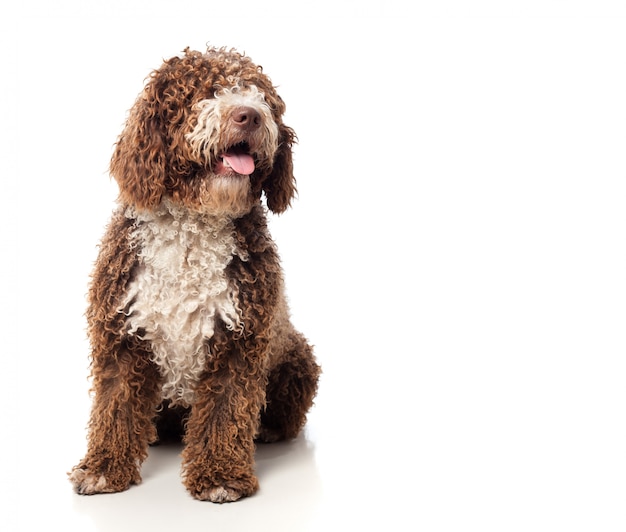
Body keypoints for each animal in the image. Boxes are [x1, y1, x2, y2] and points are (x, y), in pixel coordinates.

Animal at [70, 45, 320, 502]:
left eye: (261, 96)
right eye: (204, 91)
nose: (248, 115)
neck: (194, 224)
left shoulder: (240, 340)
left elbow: (225, 409)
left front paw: (220, 474)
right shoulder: (121, 332)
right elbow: (115, 404)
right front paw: (104, 468)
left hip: (298, 358)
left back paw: (268, 429)